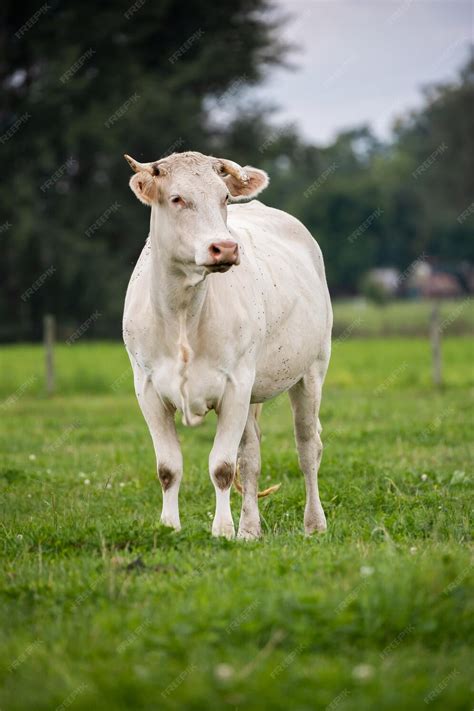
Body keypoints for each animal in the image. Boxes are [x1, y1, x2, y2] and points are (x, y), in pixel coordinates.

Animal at [122, 152, 332, 540]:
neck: (183, 314)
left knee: (308, 447)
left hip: (311, 370)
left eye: (223, 197)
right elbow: (168, 468)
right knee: (250, 458)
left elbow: (221, 466)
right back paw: (250, 529)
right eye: (177, 198)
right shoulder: (147, 388)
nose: (226, 247)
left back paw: (314, 523)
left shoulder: (235, 385)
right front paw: (170, 526)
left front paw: (222, 530)